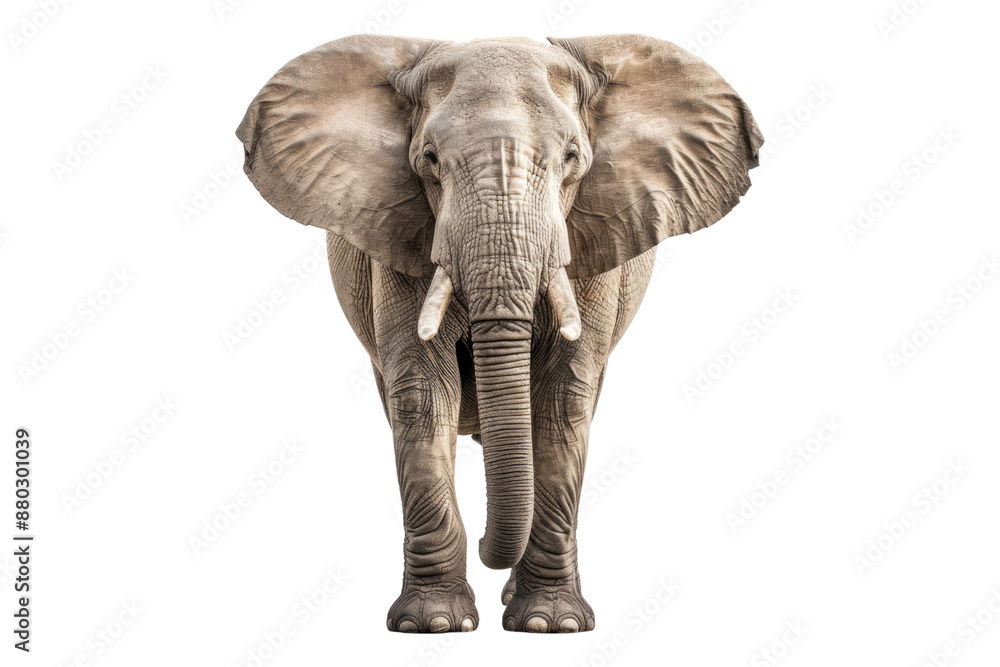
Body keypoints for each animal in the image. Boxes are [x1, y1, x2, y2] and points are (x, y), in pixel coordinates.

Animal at [236, 33, 762, 633]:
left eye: (572, 158)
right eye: (429, 160)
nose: (489, 544)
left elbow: (563, 400)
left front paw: (548, 626)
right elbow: (422, 395)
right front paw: (435, 625)